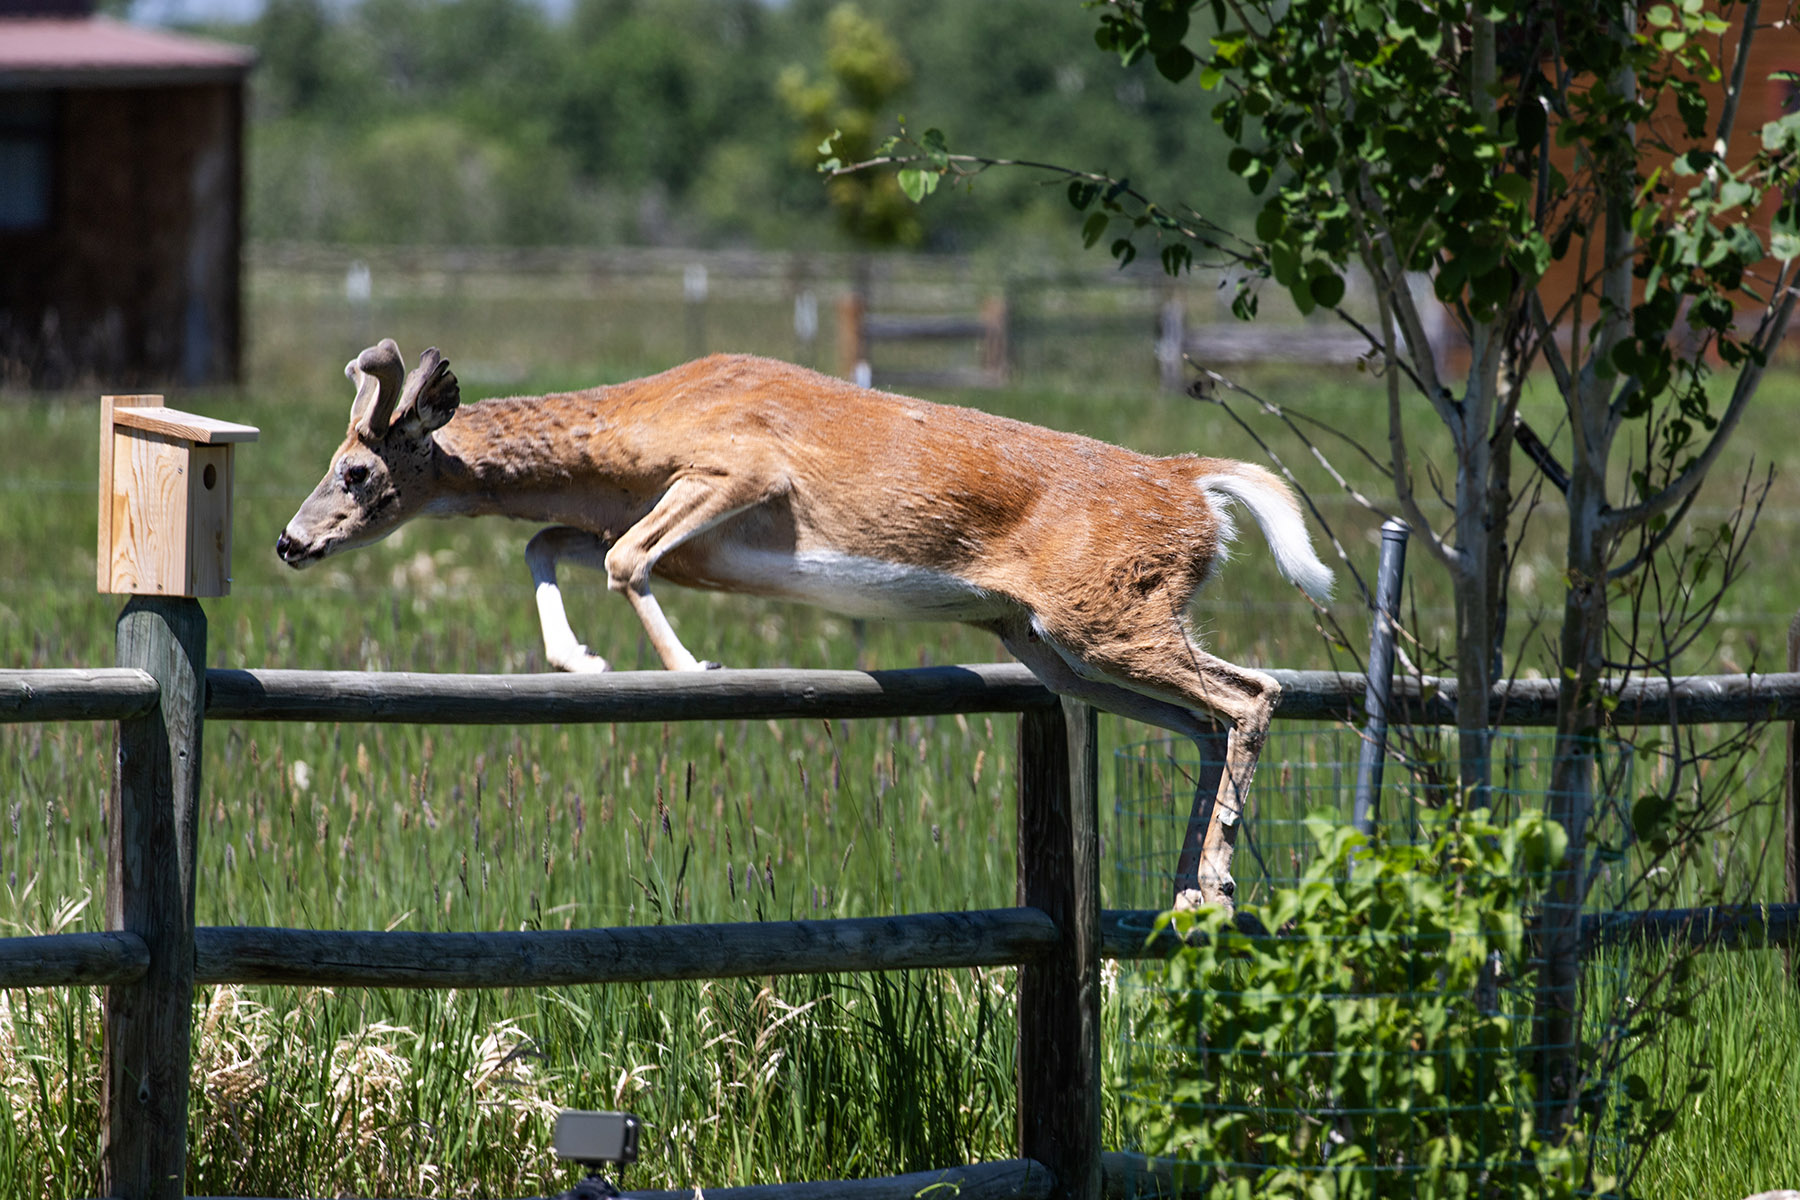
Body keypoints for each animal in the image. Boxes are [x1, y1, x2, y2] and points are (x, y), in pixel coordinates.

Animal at [276, 338, 1334, 910]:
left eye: (358, 471)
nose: (288, 542)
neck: (625, 437)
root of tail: (1192, 484)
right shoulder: (685, 544)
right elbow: (552, 541)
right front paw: (580, 660)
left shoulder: (741, 468)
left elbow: (621, 560)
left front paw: (691, 669)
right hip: (1050, 642)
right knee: (1202, 718)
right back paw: (1191, 882)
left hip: (1108, 612)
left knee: (1254, 691)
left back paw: (1219, 877)